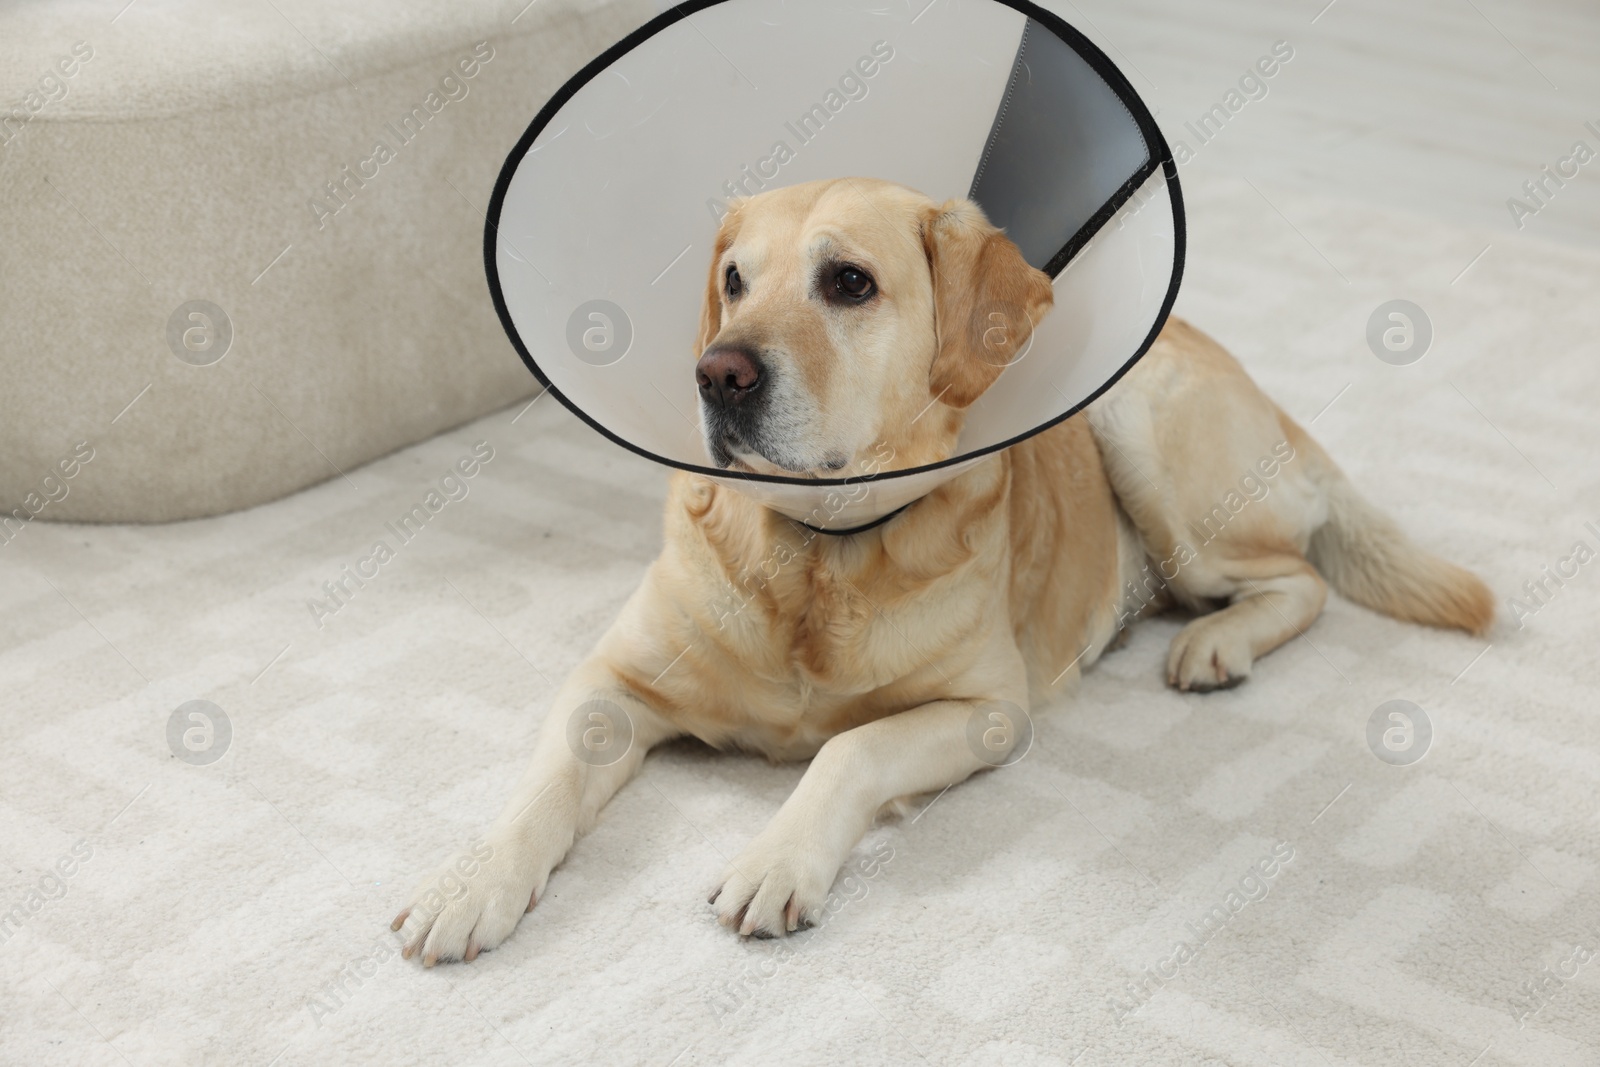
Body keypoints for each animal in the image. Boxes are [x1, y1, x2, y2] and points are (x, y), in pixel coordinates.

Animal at [393, 177, 1491, 966]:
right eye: (735, 280)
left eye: (847, 281)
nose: (718, 372)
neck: (817, 551)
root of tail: (1261, 390)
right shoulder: (612, 678)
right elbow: (544, 779)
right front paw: (468, 882)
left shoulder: (987, 709)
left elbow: (848, 749)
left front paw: (776, 856)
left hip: (1145, 438)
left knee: (1296, 578)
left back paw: (1213, 642)